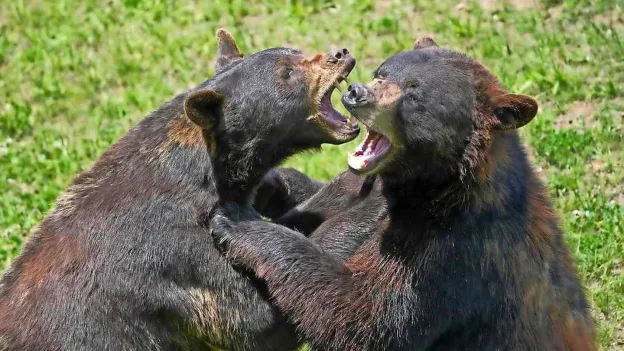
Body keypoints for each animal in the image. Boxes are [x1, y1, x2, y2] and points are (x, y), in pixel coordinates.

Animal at [210, 37, 596, 350]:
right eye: (383, 72)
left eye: (413, 93)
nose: (357, 93)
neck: (432, 185)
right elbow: (331, 192)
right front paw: (273, 185)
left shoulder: (447, 252)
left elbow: (364, 314)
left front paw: (237, 223)